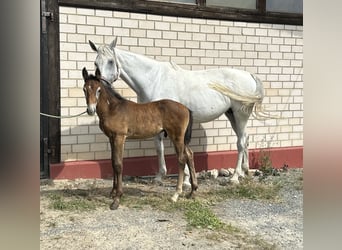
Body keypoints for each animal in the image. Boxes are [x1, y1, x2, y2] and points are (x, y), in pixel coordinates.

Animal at [89, 37, 266, 184]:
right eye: (96, 63)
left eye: (111, 61)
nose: (101, 86)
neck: (153, 80)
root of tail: (249, 75)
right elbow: (158, 146)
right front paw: (160, 176)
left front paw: (185, 180)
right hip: (231, 114)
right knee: (245, 138)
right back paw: (244, 172)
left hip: (240, 114)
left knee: (241, 142)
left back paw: (235, 177)